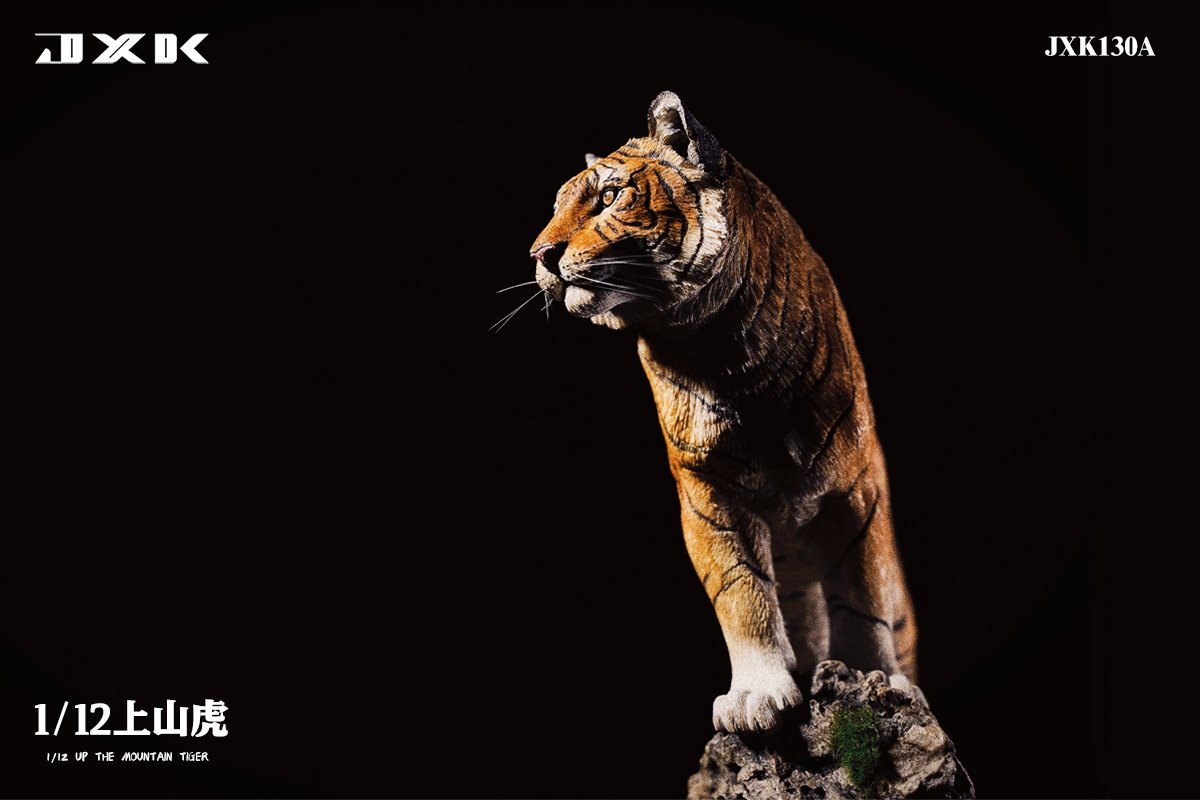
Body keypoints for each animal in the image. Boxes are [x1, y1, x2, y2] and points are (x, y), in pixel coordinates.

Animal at [529, 91, 918, 733]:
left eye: (609, 197)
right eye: (557, 208)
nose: (540, 255)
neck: (715, 346)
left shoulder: (856, 491)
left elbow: (862, 597)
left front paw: (874, 681)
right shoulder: (707, 493)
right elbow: (742, 592)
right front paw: (758, 696)